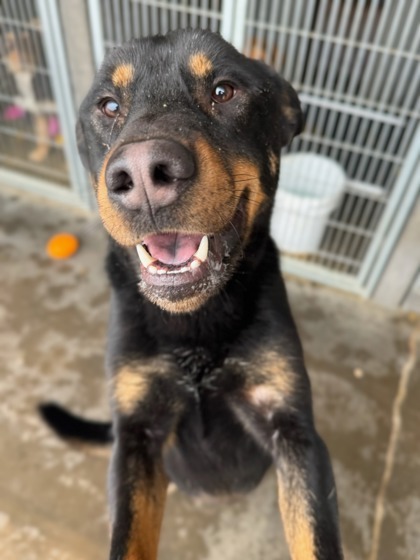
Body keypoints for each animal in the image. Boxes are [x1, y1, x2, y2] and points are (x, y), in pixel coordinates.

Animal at [41, 29, 344, 560]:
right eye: (108, 105)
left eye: (224, 90)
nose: (144, 174)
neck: (194, 324)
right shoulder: (137, 435)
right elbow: (128, 536)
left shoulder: (294, 430)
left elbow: (314, 535)